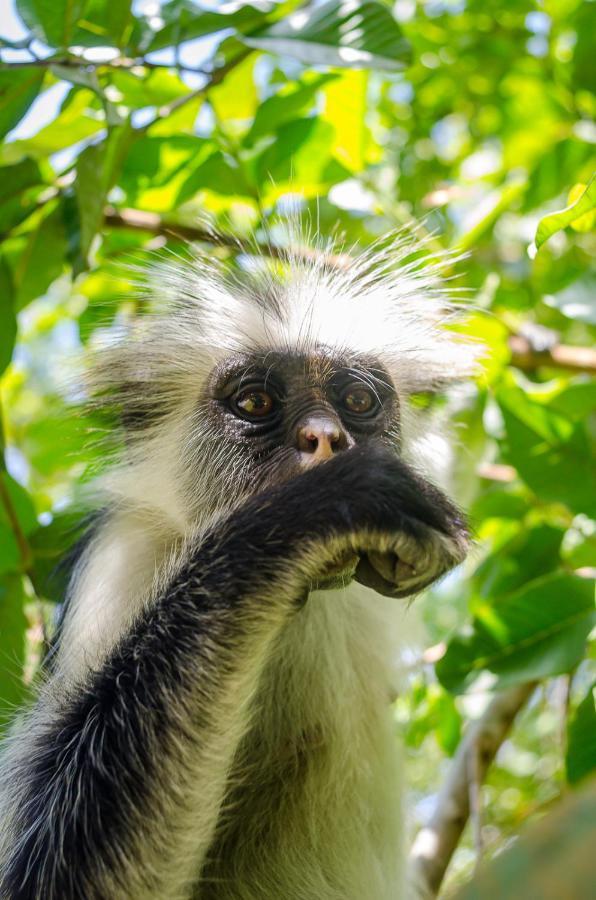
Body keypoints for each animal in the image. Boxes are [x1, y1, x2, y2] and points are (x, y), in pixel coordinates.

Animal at [0, 232, 474, 900]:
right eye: (255, 401)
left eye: (357, 401)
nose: (327, 438)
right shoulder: (123, 558)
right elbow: (54, 877)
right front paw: (319, 507)